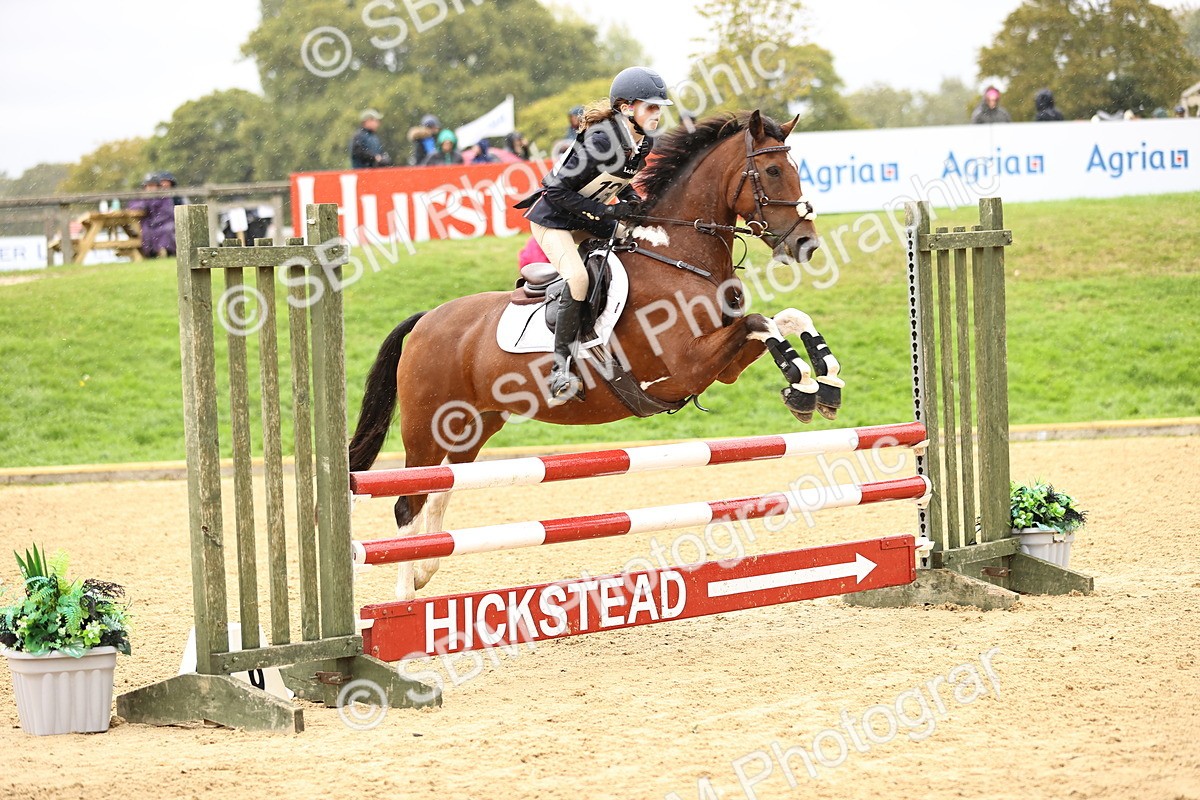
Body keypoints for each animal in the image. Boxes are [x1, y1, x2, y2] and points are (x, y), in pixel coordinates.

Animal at [348, 110, 843, 599]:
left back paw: (424, 571)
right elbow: (761, 322)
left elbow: (786, 318)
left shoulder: (722, 367)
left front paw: (825, 380)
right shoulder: (686, 366)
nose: (807, 245)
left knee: (441, 490)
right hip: (425, 428)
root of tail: (425, 320)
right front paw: (802, 385)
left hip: (474, 423)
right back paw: (404, 596)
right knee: (409, 501)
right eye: (773, 170)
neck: (680, 256)